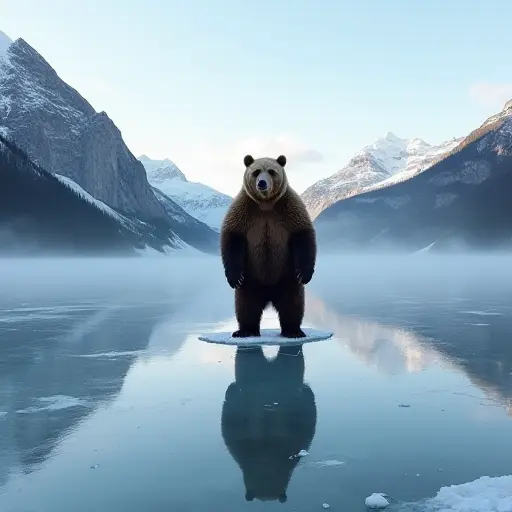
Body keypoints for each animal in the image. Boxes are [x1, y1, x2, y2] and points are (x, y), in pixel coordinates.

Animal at [220, 156, 316, 340]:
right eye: (256, 172)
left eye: (271, 171)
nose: (262, 183)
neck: (266, 204)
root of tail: (269, 295)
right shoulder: (244, 210)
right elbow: (232, 239)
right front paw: (234, 277)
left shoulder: (289, 209)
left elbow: (303, 236)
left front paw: (305, 273)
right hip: (251, 278)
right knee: (246, 304)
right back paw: (245, 330)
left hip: (287, 275)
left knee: (292, 302)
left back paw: (293, 330)